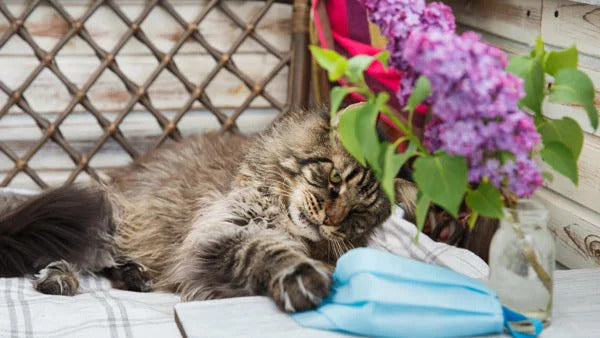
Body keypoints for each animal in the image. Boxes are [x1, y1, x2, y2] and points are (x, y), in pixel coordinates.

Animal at [0, 107, 418, 312]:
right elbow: (268, 251)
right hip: (102, 215)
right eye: (333, 179)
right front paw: (302, 279)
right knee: (77, 253)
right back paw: (59, 277)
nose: (331, 220)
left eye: (358, 214)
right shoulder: (223, 232)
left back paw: (136, 276)